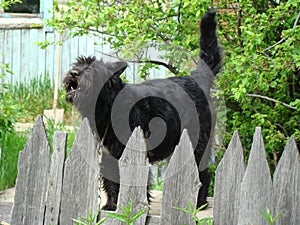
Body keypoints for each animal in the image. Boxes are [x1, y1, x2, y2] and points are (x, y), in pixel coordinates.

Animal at [63, 10, 221, 211]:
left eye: (92, 69)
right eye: (78, 64)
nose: (74, 73)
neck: (107, 106)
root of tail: (198, 80)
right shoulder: (108, 155)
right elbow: (112, 181)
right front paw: (112, 205)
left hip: (197, 143)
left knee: (203, 173)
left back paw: (199, 202)